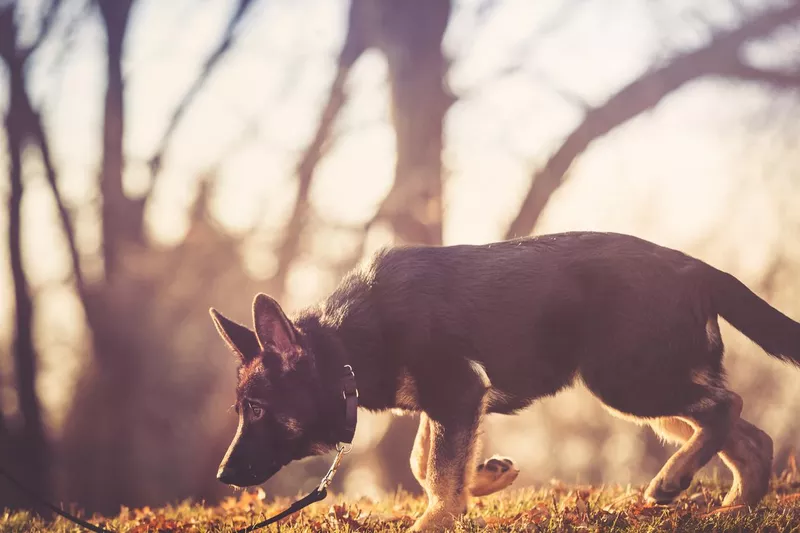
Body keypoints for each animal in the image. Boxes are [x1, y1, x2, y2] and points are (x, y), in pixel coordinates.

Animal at [209, 231, 796, 528]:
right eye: (241, 410)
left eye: (257, 409)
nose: (222, 476)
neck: (349, 343)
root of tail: (699, 268)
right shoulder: (449, 402)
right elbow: (424, 462)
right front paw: (484, 479)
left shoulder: (458, 391)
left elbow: (436, 473)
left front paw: (439, 518)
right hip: (648, 383)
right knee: (751, 435)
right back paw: (737, 506)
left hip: (627, 379)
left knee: (728, 406)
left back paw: (673, 481)